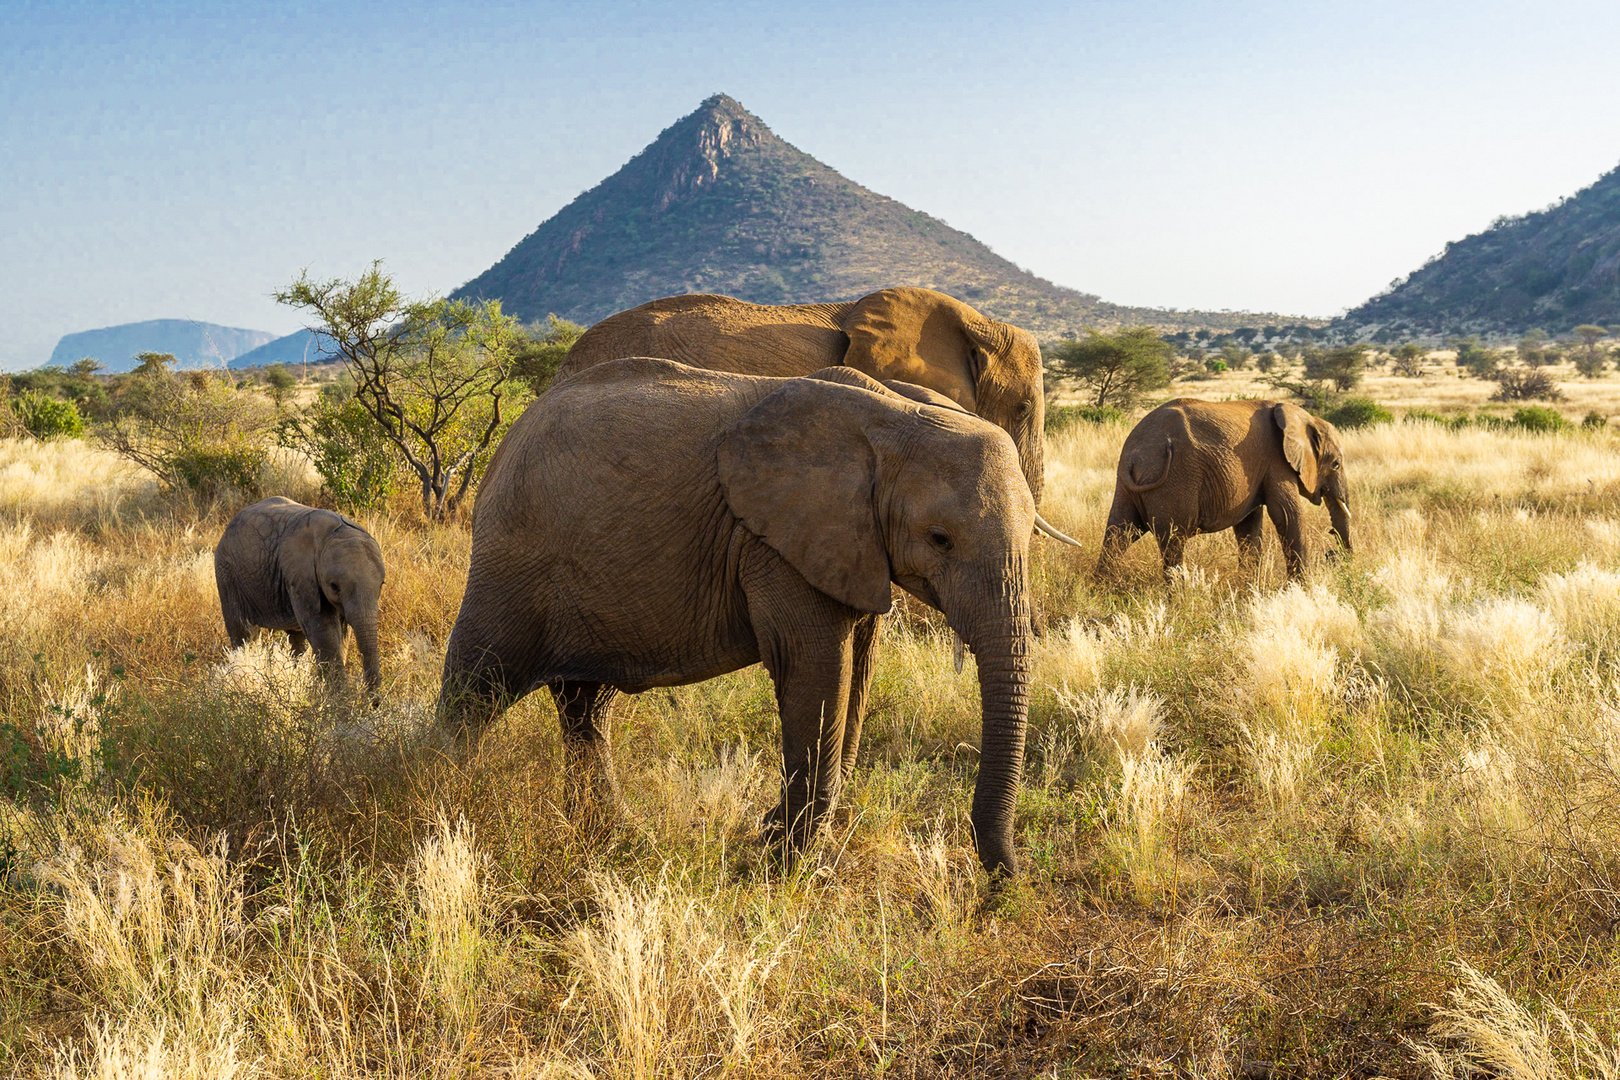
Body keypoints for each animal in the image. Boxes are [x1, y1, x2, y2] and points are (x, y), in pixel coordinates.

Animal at [213, 498, 387, 693]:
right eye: (334, 586)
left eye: (382, 584)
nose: (373, 699)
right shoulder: (300, 576)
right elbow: (323, 629)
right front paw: (339, 698)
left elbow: (341, 633)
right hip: (227, 574)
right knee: (244, 634)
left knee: (296, 638)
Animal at [437, 359, 1075, 874]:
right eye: (940, 539)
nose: (1005, 876)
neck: (894, 414)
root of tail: (504, 445)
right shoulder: (774, 541)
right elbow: (814, 668)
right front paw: (785, 861)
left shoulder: (849, 542)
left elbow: (856, 667)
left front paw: (789, 839)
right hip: (511, 559)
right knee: (476, 688)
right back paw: (440, 806)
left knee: (585, 707)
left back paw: (614, 836)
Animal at [1101, 399, 1354, 582]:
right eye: (1336, 464)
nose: (1332, 554)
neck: (1301, 416)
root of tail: (1133, 454)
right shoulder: (1277, 463)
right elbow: (1287, 516)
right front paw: (1301, 590)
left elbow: (1249, 525)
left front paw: (1249, 589)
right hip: (1174, 481)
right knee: (1173, 541)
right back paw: (1178, 597)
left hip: (1127, 485)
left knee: (1119, 532)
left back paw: (1104, 588)